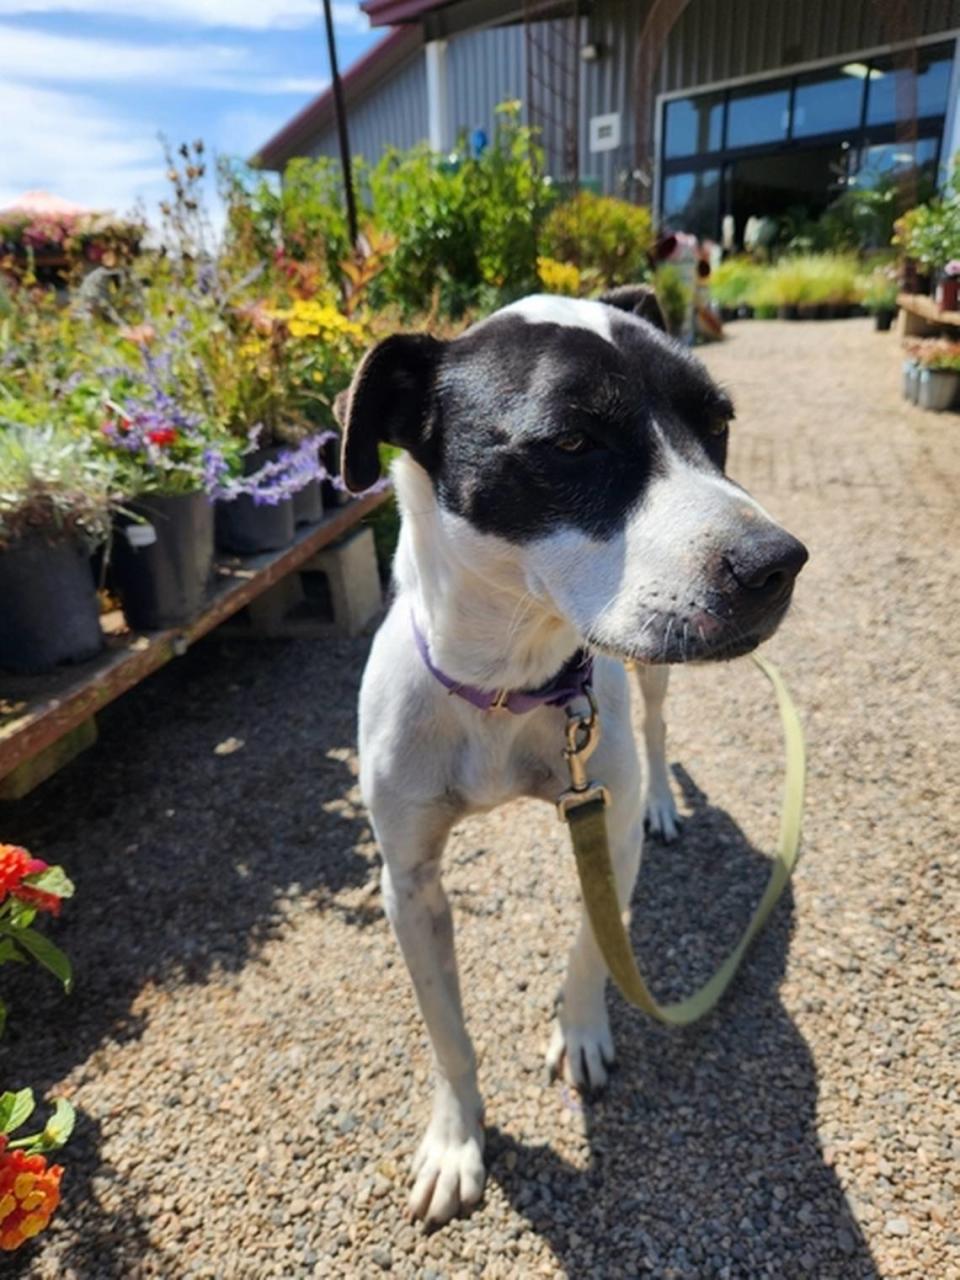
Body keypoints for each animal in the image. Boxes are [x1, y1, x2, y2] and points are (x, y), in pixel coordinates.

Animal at [343, 288, 808, 1218]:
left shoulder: (607, 826)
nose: (779, 563)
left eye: (719, 422)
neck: (507, 684)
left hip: (654, 678)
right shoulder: (408, 883)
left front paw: (582, 1030)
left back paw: (666, 800)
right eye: (571, 443)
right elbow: (447, 1034)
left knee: (659, 730)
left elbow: (594, 944)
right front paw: (456, 1140)